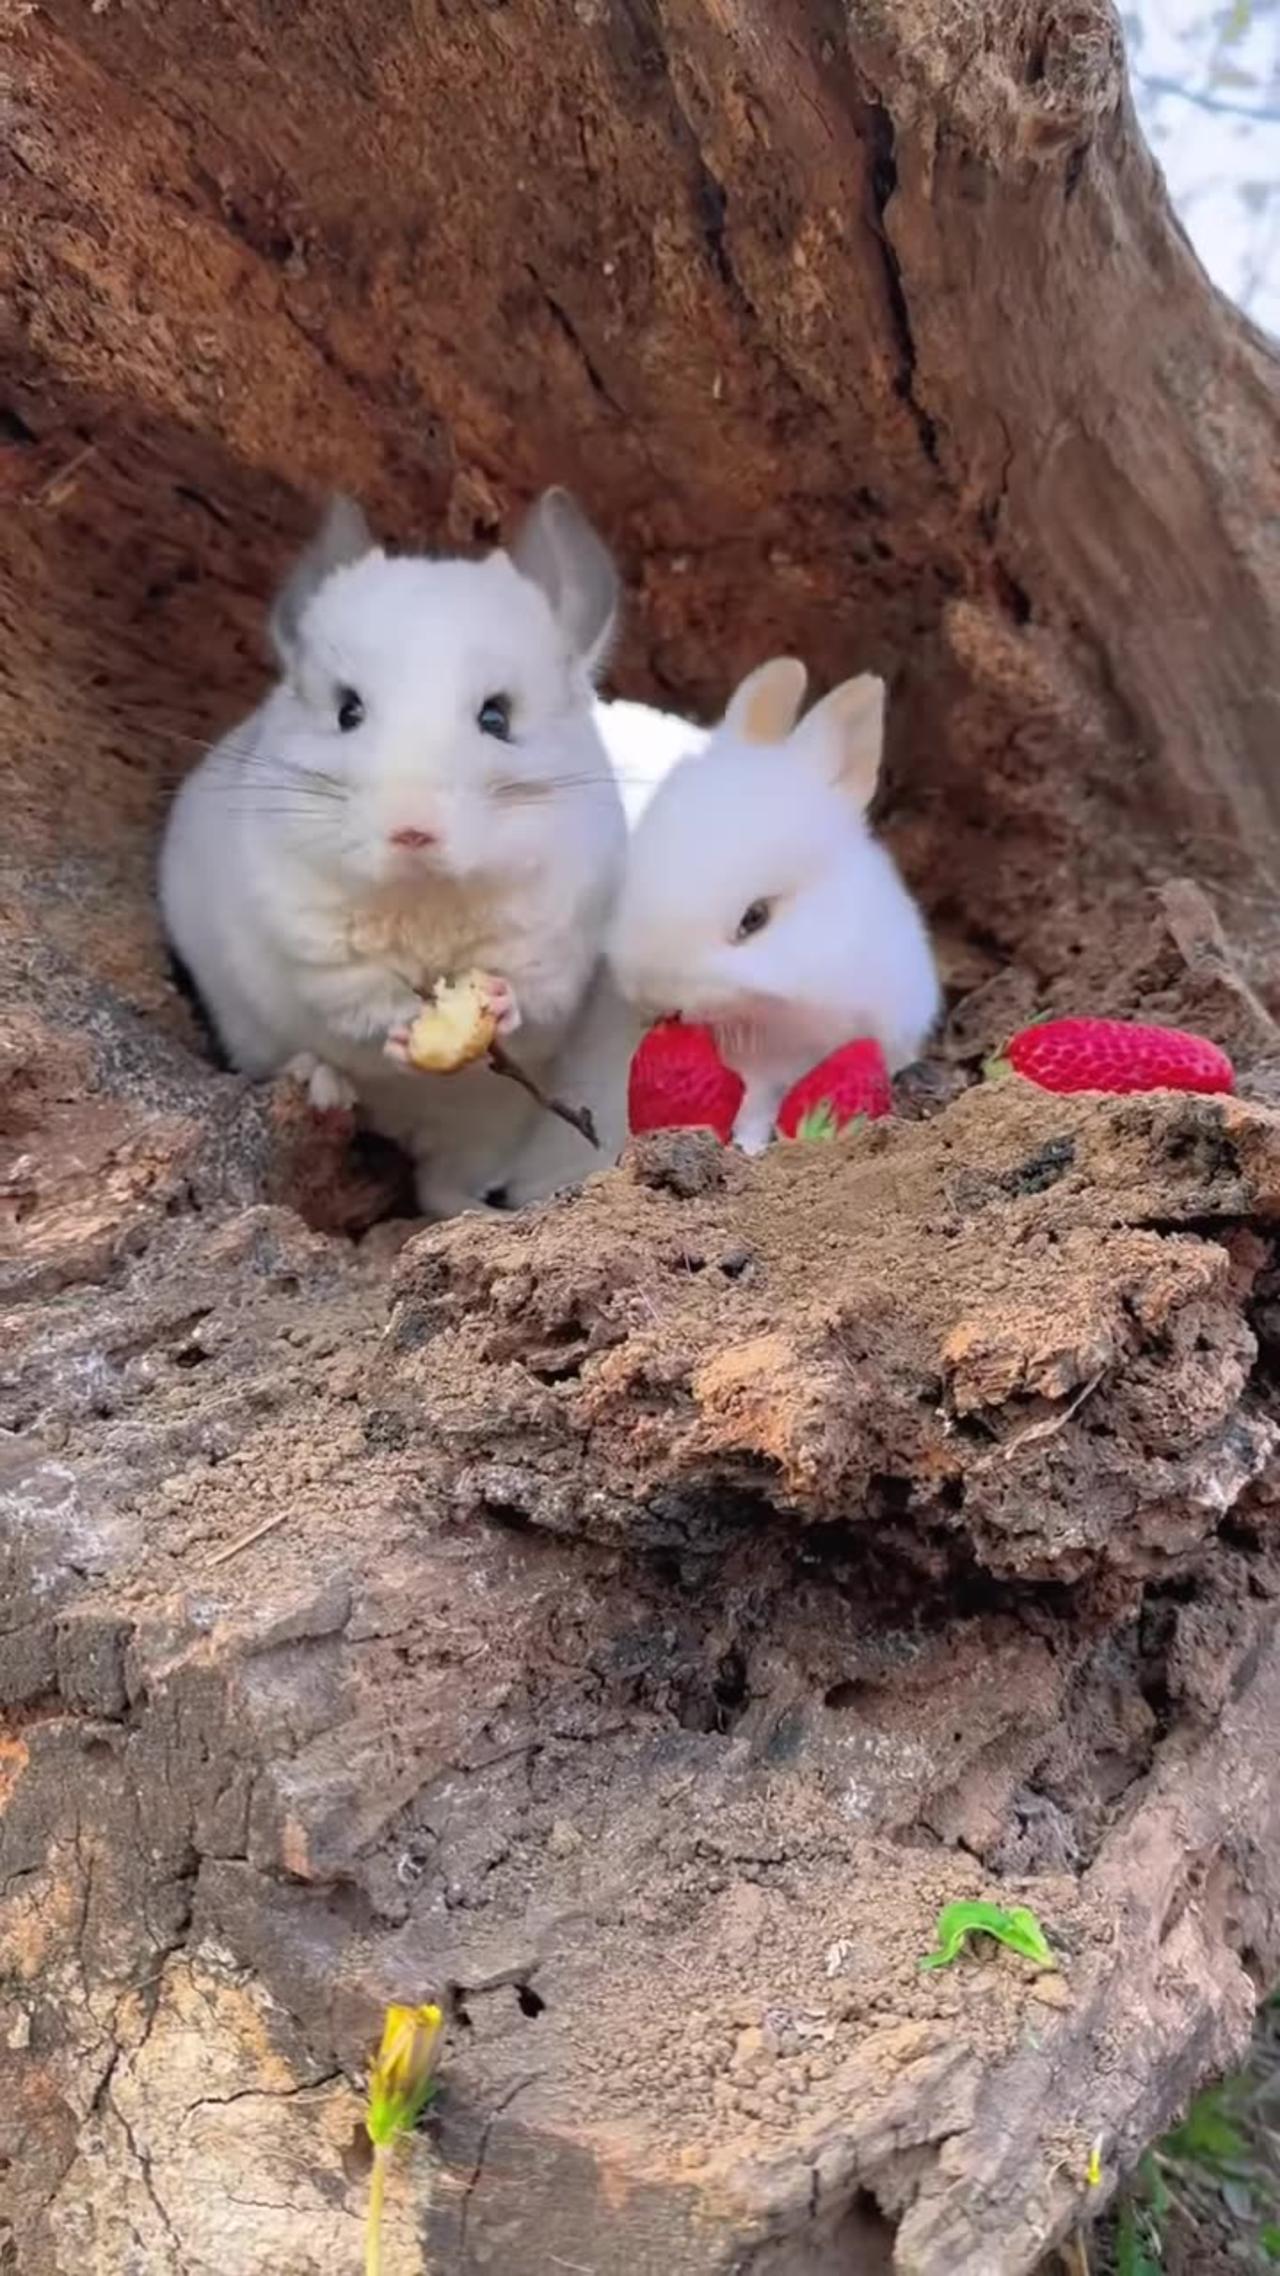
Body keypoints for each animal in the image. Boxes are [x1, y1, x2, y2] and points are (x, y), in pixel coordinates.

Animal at [159, 489, 624, 1219]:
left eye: (497, 717)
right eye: (347, 711)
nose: (412, 832)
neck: (424, 895)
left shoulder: (559, 942)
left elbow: (532, 997)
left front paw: (495, 1002)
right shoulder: (310, 942)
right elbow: (360, 1007)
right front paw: (402, 1032)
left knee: (442, 1190)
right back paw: (321, 1083)